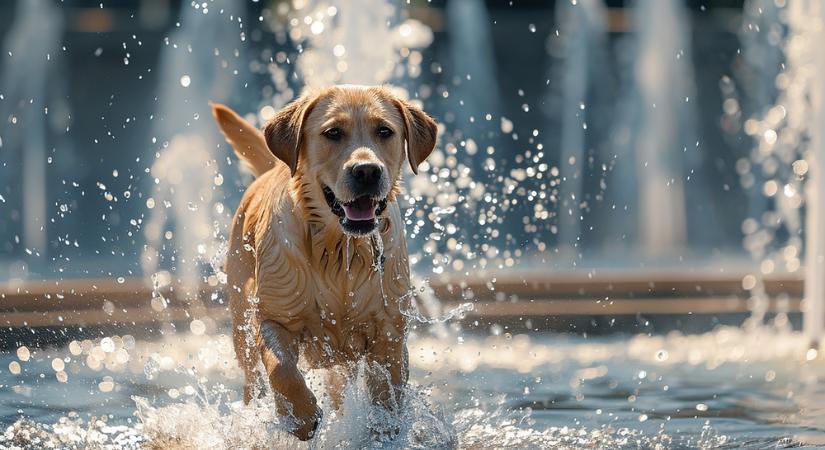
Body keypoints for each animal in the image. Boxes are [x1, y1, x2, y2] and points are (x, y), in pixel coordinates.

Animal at [211, 85, 438, 440]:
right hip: (241, 325)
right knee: (253, 380)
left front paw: (383, 431)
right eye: (333, 133)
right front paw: (301, 417)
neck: (339, 249)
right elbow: (282, 369)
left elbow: (387, 393)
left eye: (384, 131)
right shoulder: (274, 316)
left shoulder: (389, 333)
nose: (367, 170)